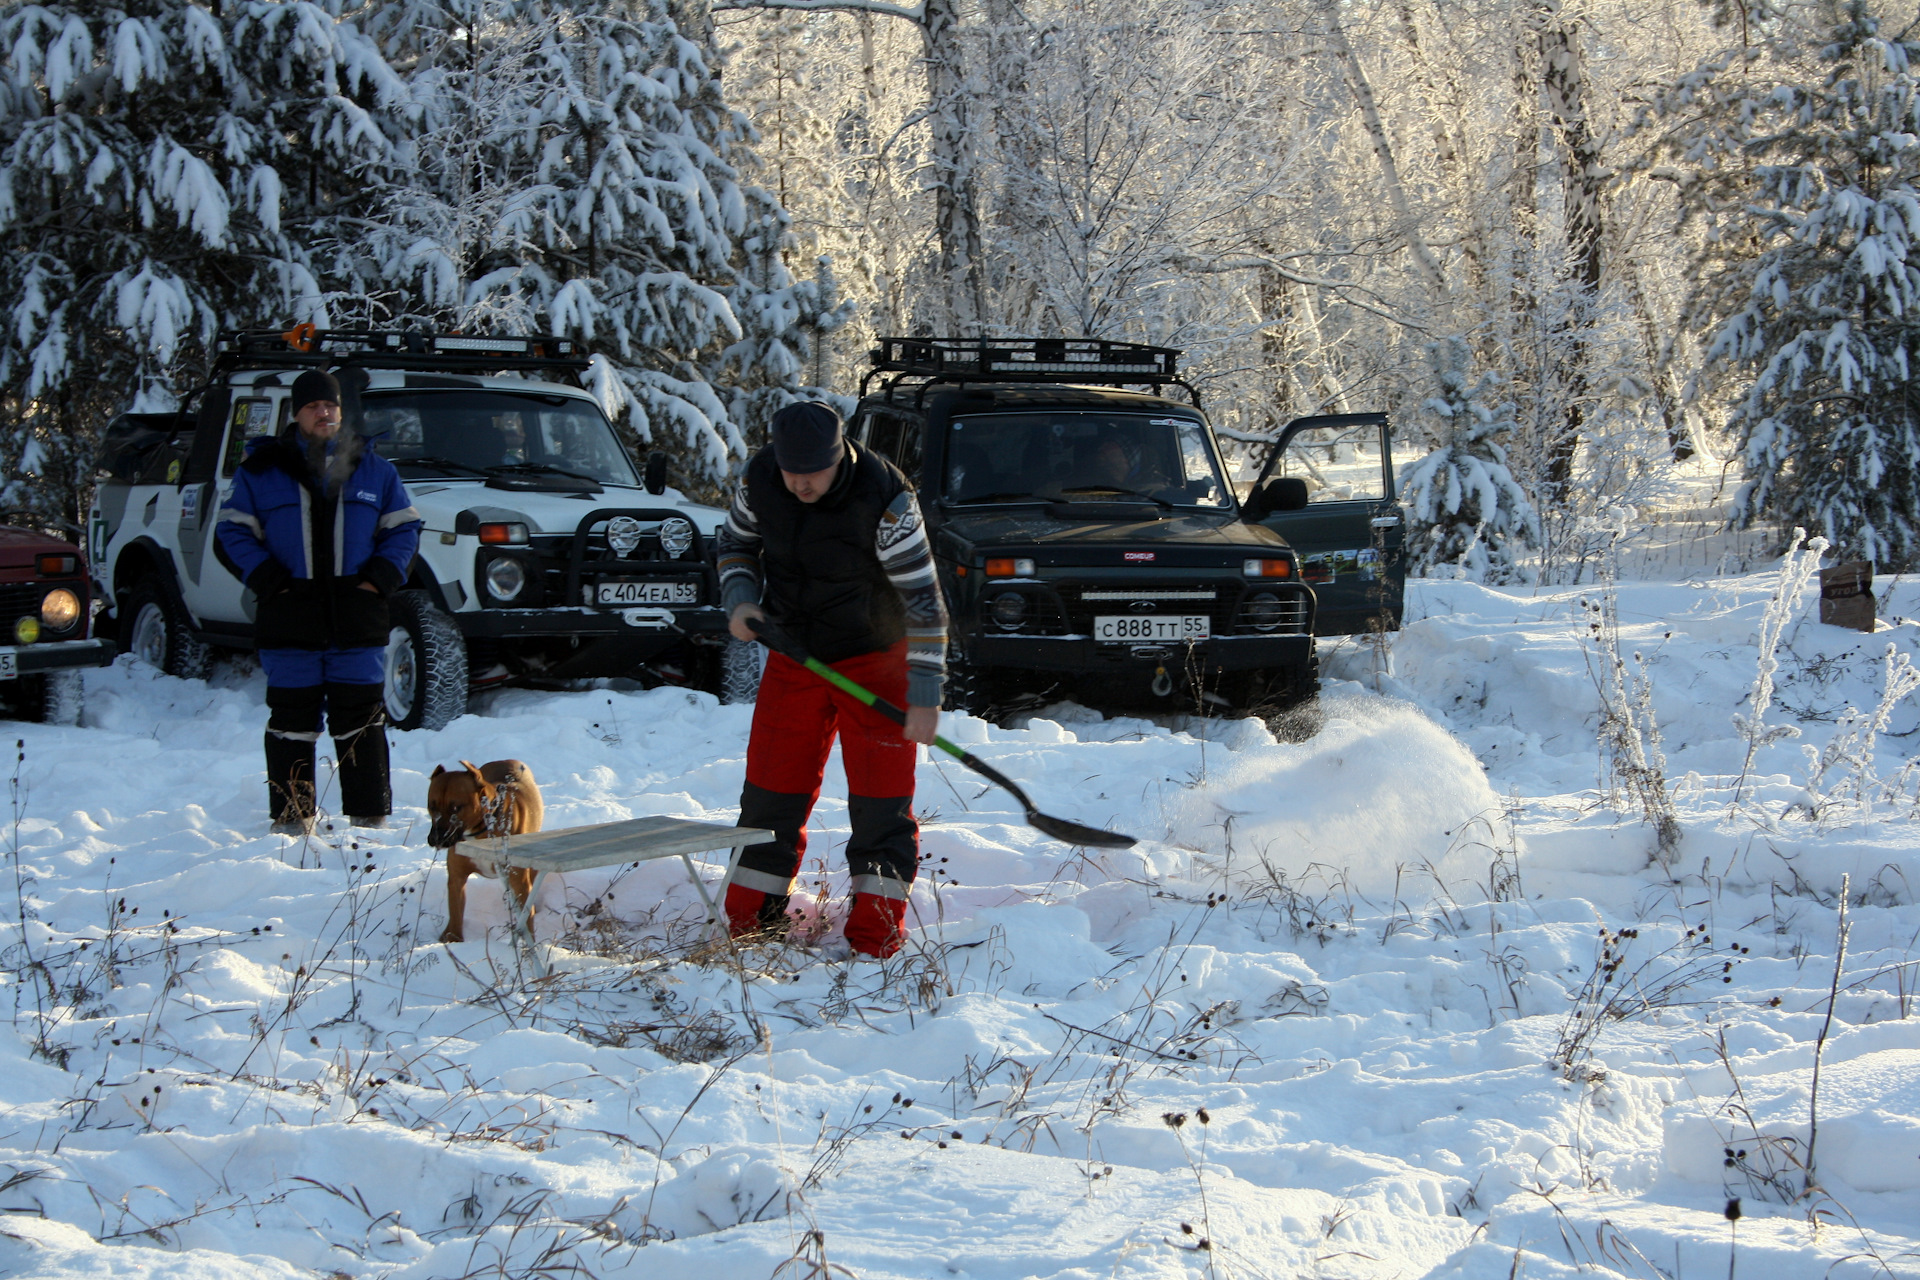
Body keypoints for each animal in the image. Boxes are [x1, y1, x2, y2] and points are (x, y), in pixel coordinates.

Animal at [430, 756, 545, 948]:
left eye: (456, 807)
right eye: (432, 806)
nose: (436, 838)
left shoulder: (519, 880)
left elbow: (527, 918)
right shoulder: (456, 877)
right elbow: (455, 910)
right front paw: (452, 938)